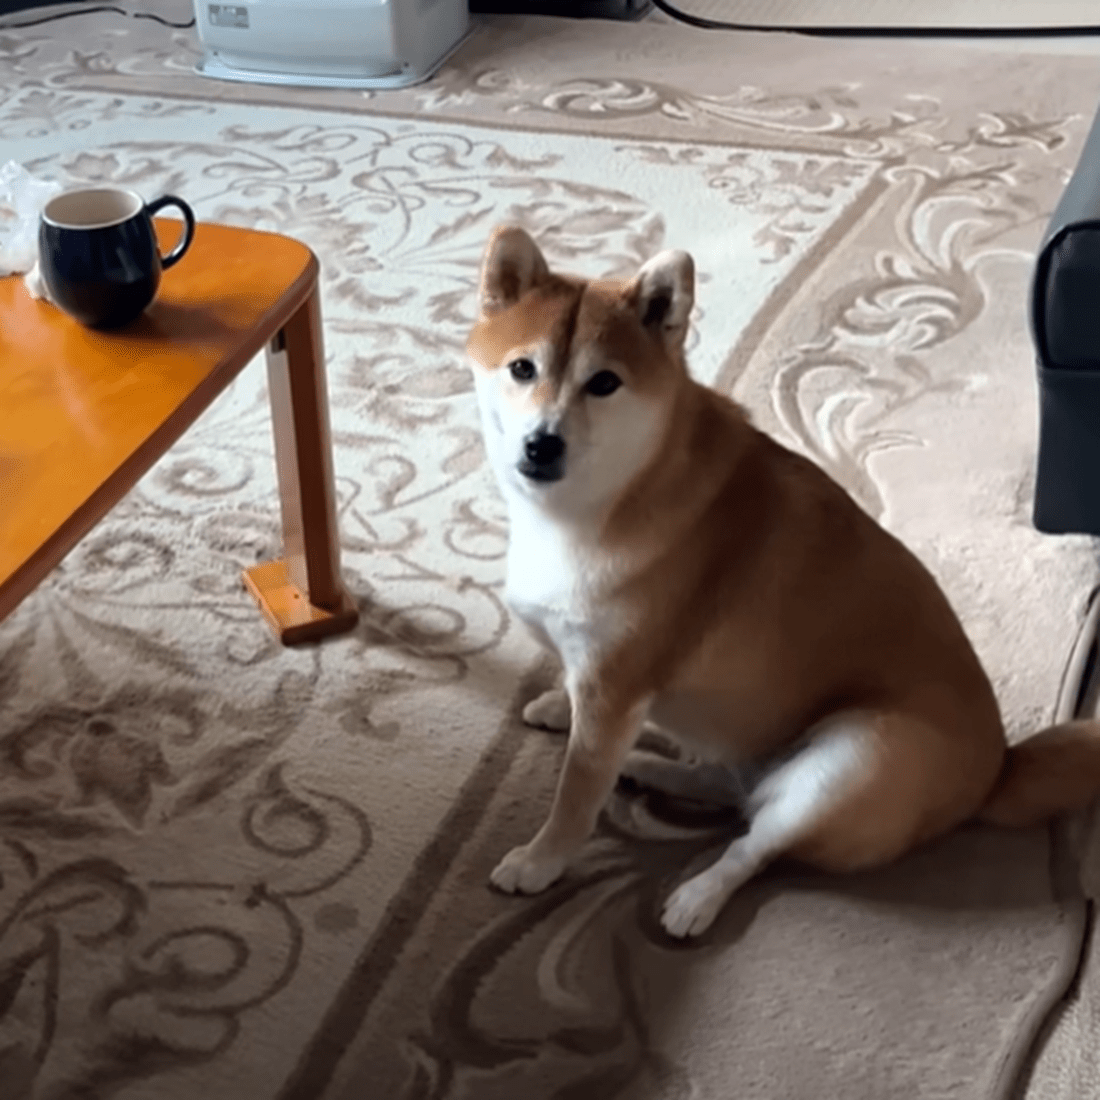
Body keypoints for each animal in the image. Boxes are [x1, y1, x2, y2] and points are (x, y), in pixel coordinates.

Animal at [466, 224, 1100, 938]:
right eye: (523, 368)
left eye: (603, 383)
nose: (541, 444)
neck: (611, 496)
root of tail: (996, 771)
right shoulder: (597, 680)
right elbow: (574, 708)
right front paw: (556, 705)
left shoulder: (615, 688)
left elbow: (576, 793)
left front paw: (541, 858)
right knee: (730, 789)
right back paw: (646, 765)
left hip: (855, 760)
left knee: (755, 845)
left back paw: (697, 895)